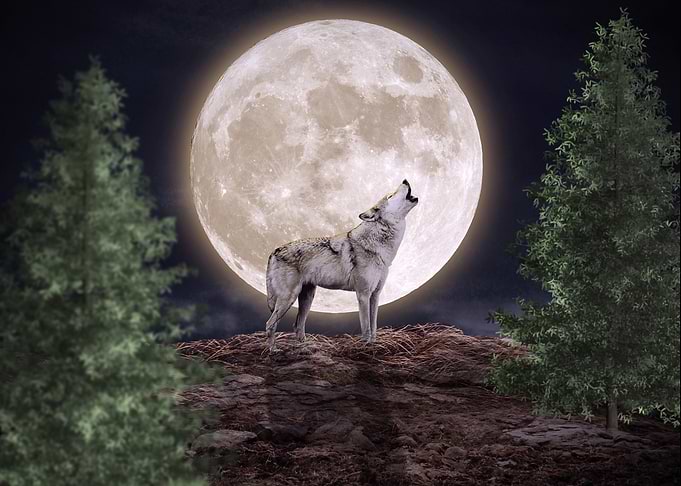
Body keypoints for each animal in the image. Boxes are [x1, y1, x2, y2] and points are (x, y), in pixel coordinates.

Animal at [264, 179, 419, 351]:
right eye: (390, 195)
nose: (405, 180)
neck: (379, 246)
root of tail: (274, 251)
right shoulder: (363, 295)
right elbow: (366, 327)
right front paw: (366, 348)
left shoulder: (375, 295)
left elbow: (374, 326)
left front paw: (374, 345)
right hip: (288, 298)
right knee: (270, 324)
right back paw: (273, 350)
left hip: (307, 298)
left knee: (297, 325)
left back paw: (306, 348)